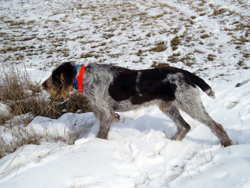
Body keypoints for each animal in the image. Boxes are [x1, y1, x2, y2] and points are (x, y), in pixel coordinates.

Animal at [42, 62, 232, 147]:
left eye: (54, 76)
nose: (43, 85)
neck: (85, 78)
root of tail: (186, 73)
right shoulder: (106, 113)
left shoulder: (105, 113)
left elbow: (101, 134)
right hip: (168, 107)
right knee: (184, 126)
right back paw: (172, 142)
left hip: (191, 105)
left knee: (216, 125)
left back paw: (226, 143)